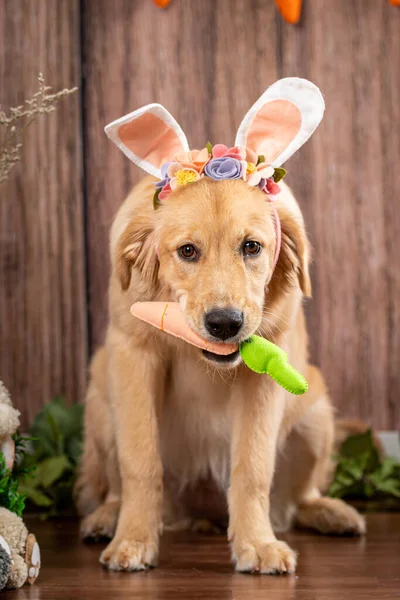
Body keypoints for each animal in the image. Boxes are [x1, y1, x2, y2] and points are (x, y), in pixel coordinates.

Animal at [75, 172, 366, 572]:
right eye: (187, 251)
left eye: (251, 247)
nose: (225, 324)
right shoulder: (134, 353)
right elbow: (140, 462)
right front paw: (133, 539)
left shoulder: (265, 374)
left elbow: (253, 468)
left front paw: (257, 544)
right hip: (101, 401)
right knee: (114, 487)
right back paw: (107, 517)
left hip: (317, 412)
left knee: (301, 498)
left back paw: (334, 513)